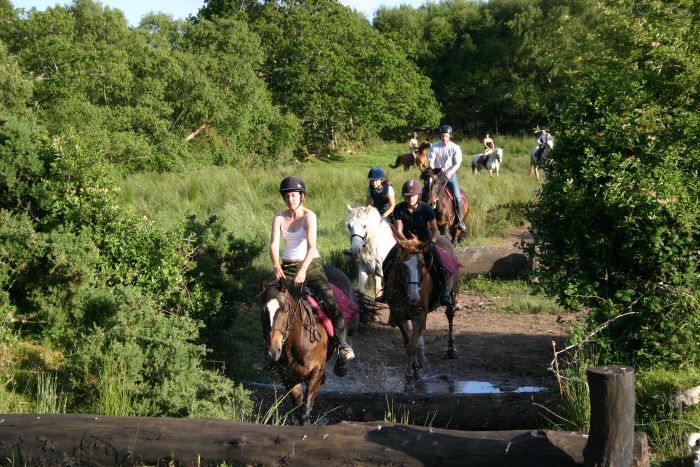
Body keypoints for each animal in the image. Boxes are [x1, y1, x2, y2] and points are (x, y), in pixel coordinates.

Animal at [382, 236, 460, 382]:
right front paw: (415, 364)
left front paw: (409, 373)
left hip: (452, 293)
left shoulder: (419, 315)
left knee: (450, 315)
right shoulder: (399, 315)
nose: (414, 296)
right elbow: (408, 341)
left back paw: (451, 350)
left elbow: (412, 345)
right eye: (403, 265)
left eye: (422, 264)